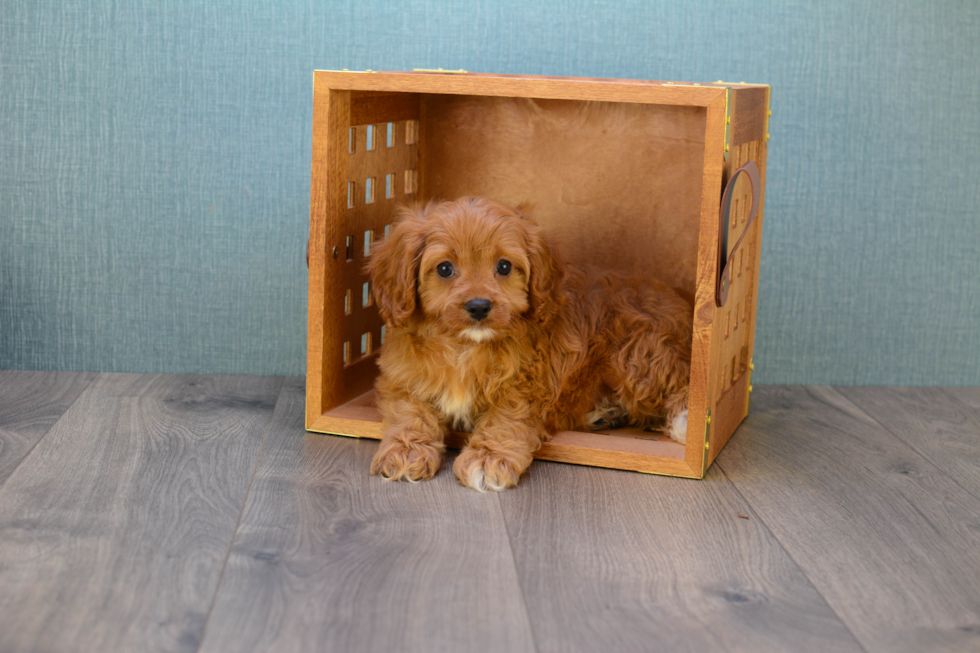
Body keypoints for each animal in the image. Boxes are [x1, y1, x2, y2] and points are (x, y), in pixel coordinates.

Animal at [364, 196, 692, 492]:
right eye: (444, 269)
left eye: (504, 267)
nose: (479, 306)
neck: (464, 346)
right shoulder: (402, 378)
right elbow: (410, 413)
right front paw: (406, 450)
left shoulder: (526, 386)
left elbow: (504, 420)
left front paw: (488, 460)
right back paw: (605, 412)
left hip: (638, 354)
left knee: (679, 381)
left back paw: (684, 421)